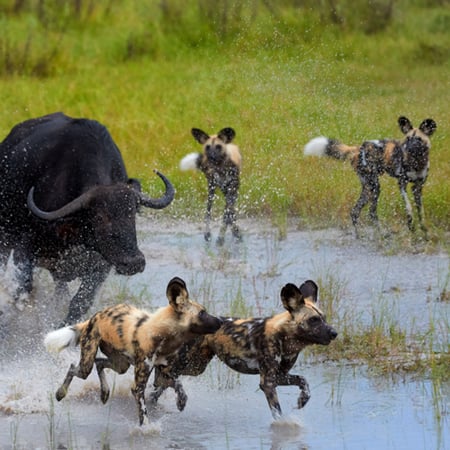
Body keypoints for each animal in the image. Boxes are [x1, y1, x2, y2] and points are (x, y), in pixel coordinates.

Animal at [0, 111, 175, 326]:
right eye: (99, 217)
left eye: (132, 213)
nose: (134, 262)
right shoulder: (25, 249)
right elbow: (23, 292)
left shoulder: (102, 265)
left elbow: (79, 302)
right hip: (5, 237)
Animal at [43, 276, 222, 428]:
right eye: (202, 313)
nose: (221, 320)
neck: (163, 336)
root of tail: (95, 316)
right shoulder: (139, 386)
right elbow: (143, 412)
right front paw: (147, 430)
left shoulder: (163, 375)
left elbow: (179, 386)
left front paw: (181, 402)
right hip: (87, 365)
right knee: (74, 367)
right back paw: (60, 393)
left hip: (121, 365)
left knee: (99, 363)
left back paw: (104, 393)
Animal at [149, 280, 338, 420]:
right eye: (313, 320)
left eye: (323, 318)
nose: (334, 333)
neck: (285, 336)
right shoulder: (268, 383)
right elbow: (278, 413)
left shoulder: (279, 376)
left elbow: (303, 381)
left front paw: (302, 401)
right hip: (187, 363)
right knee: (165, 375)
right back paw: (178, 400)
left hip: (195, 366)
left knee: (160, 383)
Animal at [304, 116, 438, 236]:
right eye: (408, 139)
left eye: (418, 139)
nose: (407, 148)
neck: (416, 162)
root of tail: (357, 149)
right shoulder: (402, 184)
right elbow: (409, 207)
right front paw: (411, 227)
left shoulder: (417, 188)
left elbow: (421, 211)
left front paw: (424, 231)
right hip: (375, 186)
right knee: (371, 212)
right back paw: (382, 234)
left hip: (368, 188)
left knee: (355, 212)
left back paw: (359, 236)